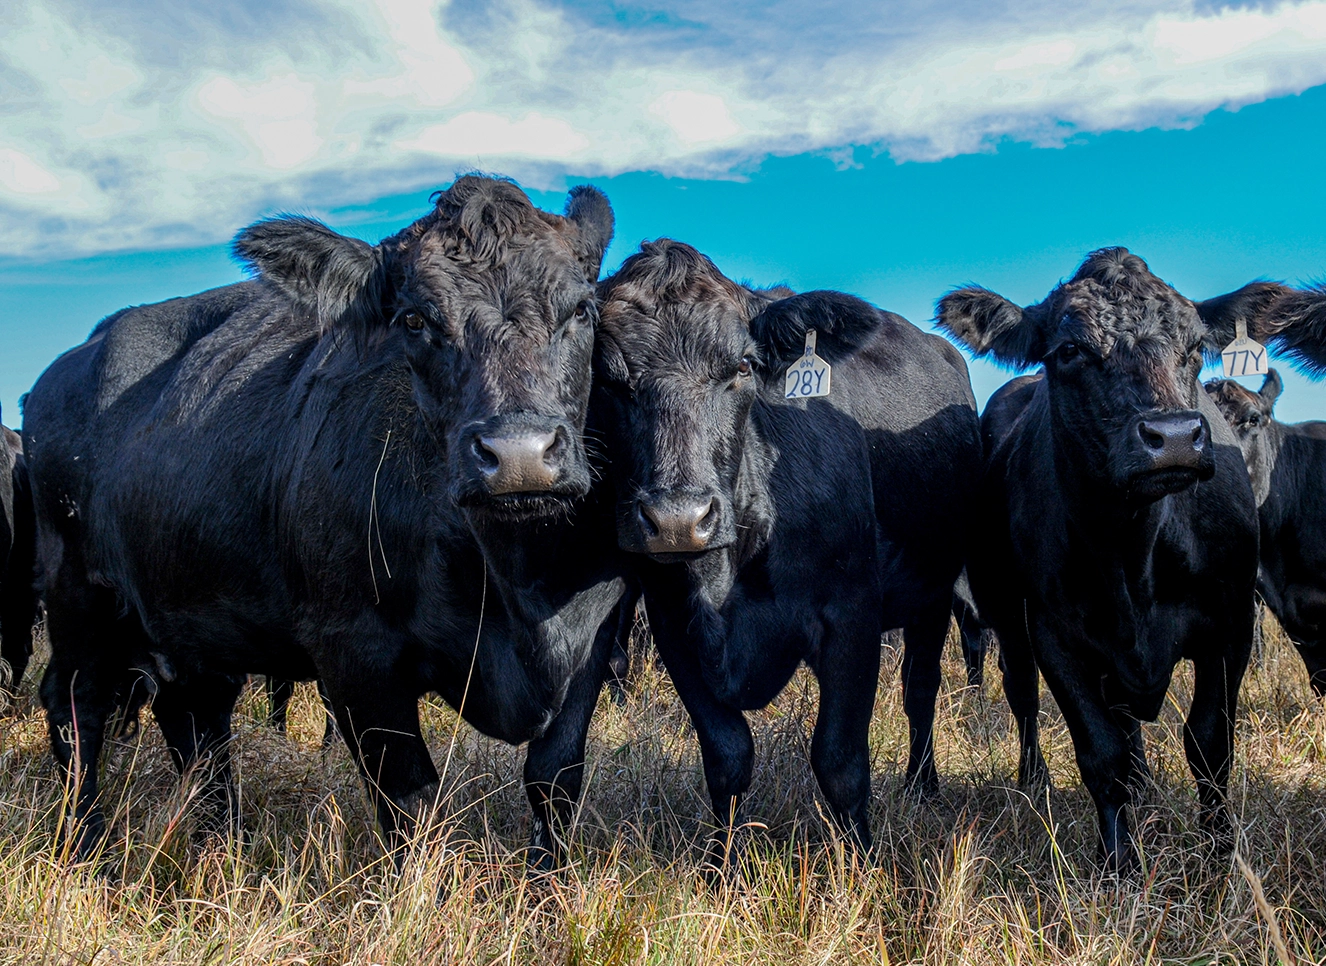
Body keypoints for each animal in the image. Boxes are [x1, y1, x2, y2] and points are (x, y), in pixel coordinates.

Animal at [25, 177, 625, 853]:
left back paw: (224, 844)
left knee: (196, 721)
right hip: (77, 595)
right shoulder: (354, 653)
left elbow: (554, 781)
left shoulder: (593, 643)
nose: (519, 455)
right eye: (415, 319)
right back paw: (87, 846)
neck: (511, 575)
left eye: (582, 311)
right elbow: (410, 802)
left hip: (186, 614)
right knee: (76, 706)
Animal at [530, 237, 986, 853]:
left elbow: (841, 761)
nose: (678, 519)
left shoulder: (852, 614)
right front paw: (719, 865)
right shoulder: (675, 624)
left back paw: (923, 785)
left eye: (743, 367)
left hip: (933, 592)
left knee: (921, 690)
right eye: (606, 378)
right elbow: (728, 755)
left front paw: (862, 864)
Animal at [938, 246, 1299, 869]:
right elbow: (1100, 754)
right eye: (1069, 351)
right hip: (1005, 616)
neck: (1134, 554)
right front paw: (1119, 867)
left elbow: (1210, 745)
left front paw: (1217, 859)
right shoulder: (1056, 637)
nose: (1173, 437)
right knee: (1023, 695)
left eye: (1194, 347)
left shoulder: (1230, 624)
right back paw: (1036, 782)